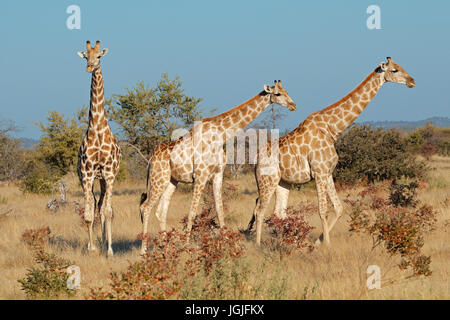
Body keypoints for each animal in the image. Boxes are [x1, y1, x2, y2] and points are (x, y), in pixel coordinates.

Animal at [139, 81, 298, 254]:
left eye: (286, 91)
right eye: (277, 94)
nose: (293, 105)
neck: (221, 136)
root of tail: (150, 160)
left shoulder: (217, 174)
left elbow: (219, 209)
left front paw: (227, 243)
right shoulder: (200, 176)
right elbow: (192, 212)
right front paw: (187, 246)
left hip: (171, 181)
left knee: (160, 211)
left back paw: (165, 247)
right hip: (158, 179)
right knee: (145, 207)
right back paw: (143, 250)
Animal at [248, 57, 416, 246]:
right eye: (395, 70)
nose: (412, 81)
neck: (332, 129)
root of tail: (256, 160)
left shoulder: (328, 173)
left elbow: (339, 208)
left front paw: (318, 242)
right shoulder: (319, 173)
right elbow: (323, 210)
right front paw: (326, 245)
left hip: (282, 182)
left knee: (278, 212)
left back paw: (286, 242)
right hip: (267, 180)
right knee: (260, 210)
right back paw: (258, 244)